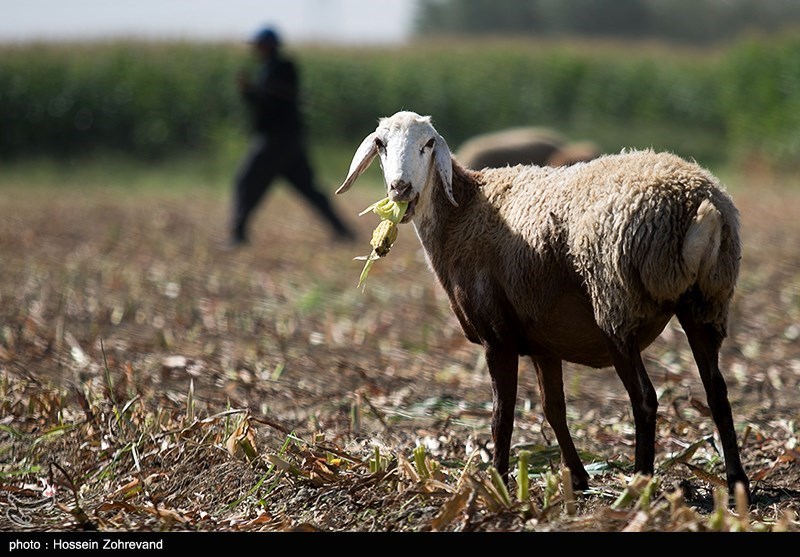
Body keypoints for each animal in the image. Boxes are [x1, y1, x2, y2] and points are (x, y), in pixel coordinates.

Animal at [338, 109, 752, 500]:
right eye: (380, 144)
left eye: (427, 144)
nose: (400, 188)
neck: (461, 214)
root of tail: (697, 206)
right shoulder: (543, 340)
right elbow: (554, 409)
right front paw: (578, 478)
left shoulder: (497, 336)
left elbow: (501, 415)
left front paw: (500, 482)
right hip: (706, 302)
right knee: (717, 393)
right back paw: (737, 482)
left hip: (616, 305)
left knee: (645, 398)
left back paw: (639, 483)